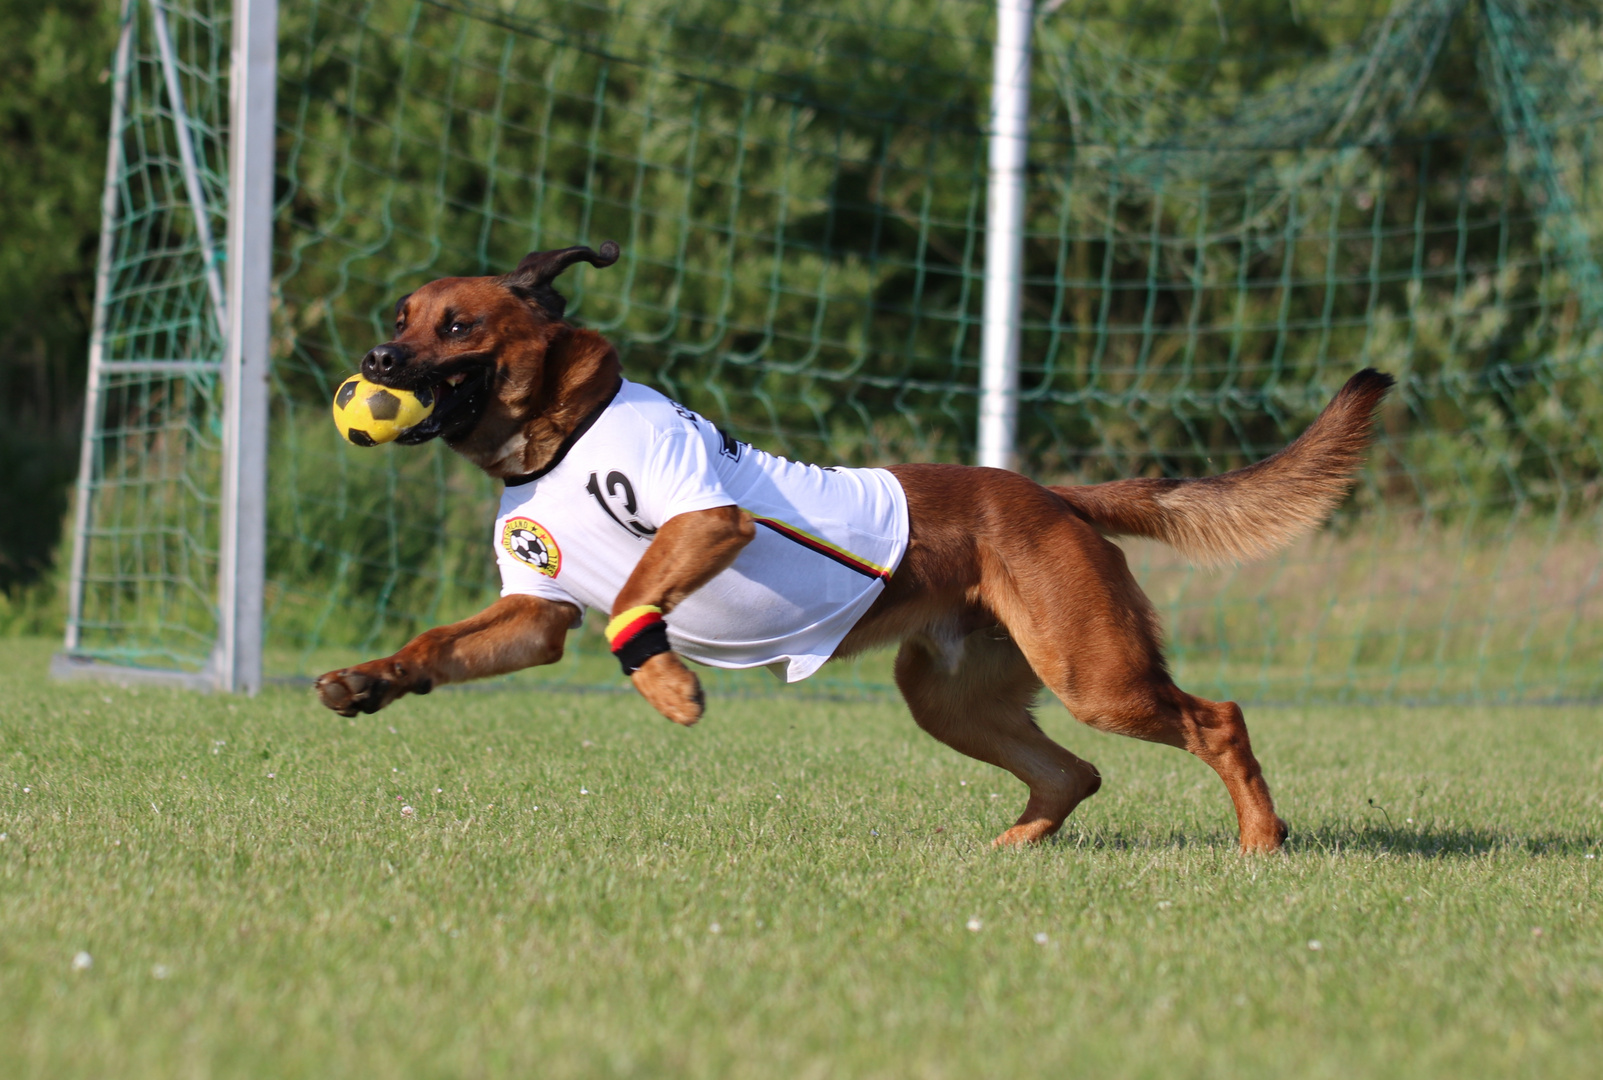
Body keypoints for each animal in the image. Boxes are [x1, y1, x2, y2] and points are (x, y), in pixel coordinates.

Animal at [315, 241, 1391, 852]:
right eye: (399, 318)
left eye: (456, 324)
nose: (375, 361)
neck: (564, 434)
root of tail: (1049, 496)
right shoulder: (532, 609)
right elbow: (436, 645)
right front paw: (367, 680)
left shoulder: (705, 520)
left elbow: (636, 596)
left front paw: (665, 684)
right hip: (951, 694)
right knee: (1072, 772)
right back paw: (1013, 849)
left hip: (1096, 671)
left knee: (1218, 721)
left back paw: (1260, 841)